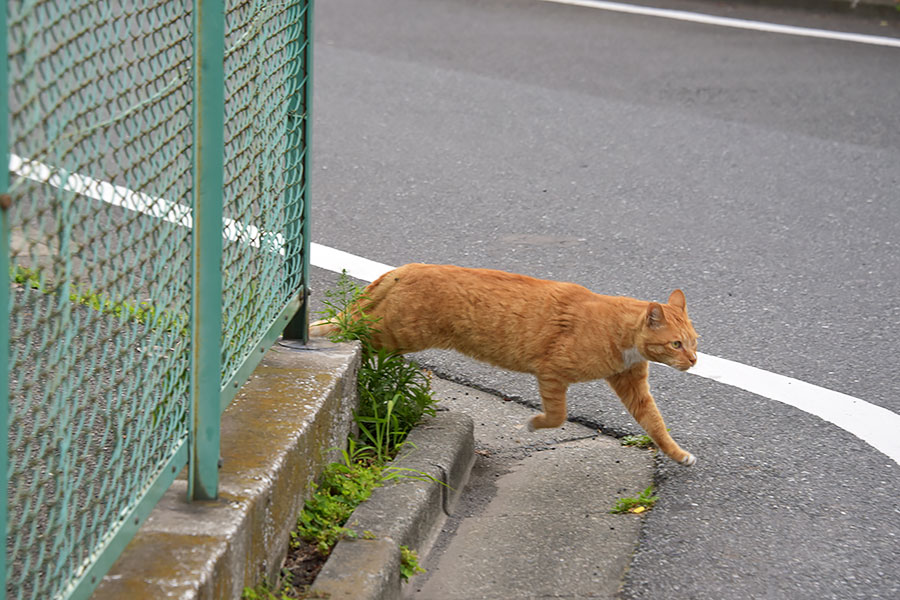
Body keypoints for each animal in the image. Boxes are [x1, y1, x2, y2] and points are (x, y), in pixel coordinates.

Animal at [312, 264, 700, 466]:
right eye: (676, 344)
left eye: (694, 342)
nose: (694, 361)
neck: (619, 331)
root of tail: (407, 267)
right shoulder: (552, 373)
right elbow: (557, 416)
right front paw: (531, 425)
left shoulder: (632, 384)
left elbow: (655, 424)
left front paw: (679, 455)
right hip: (392, 334)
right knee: (348, 328)